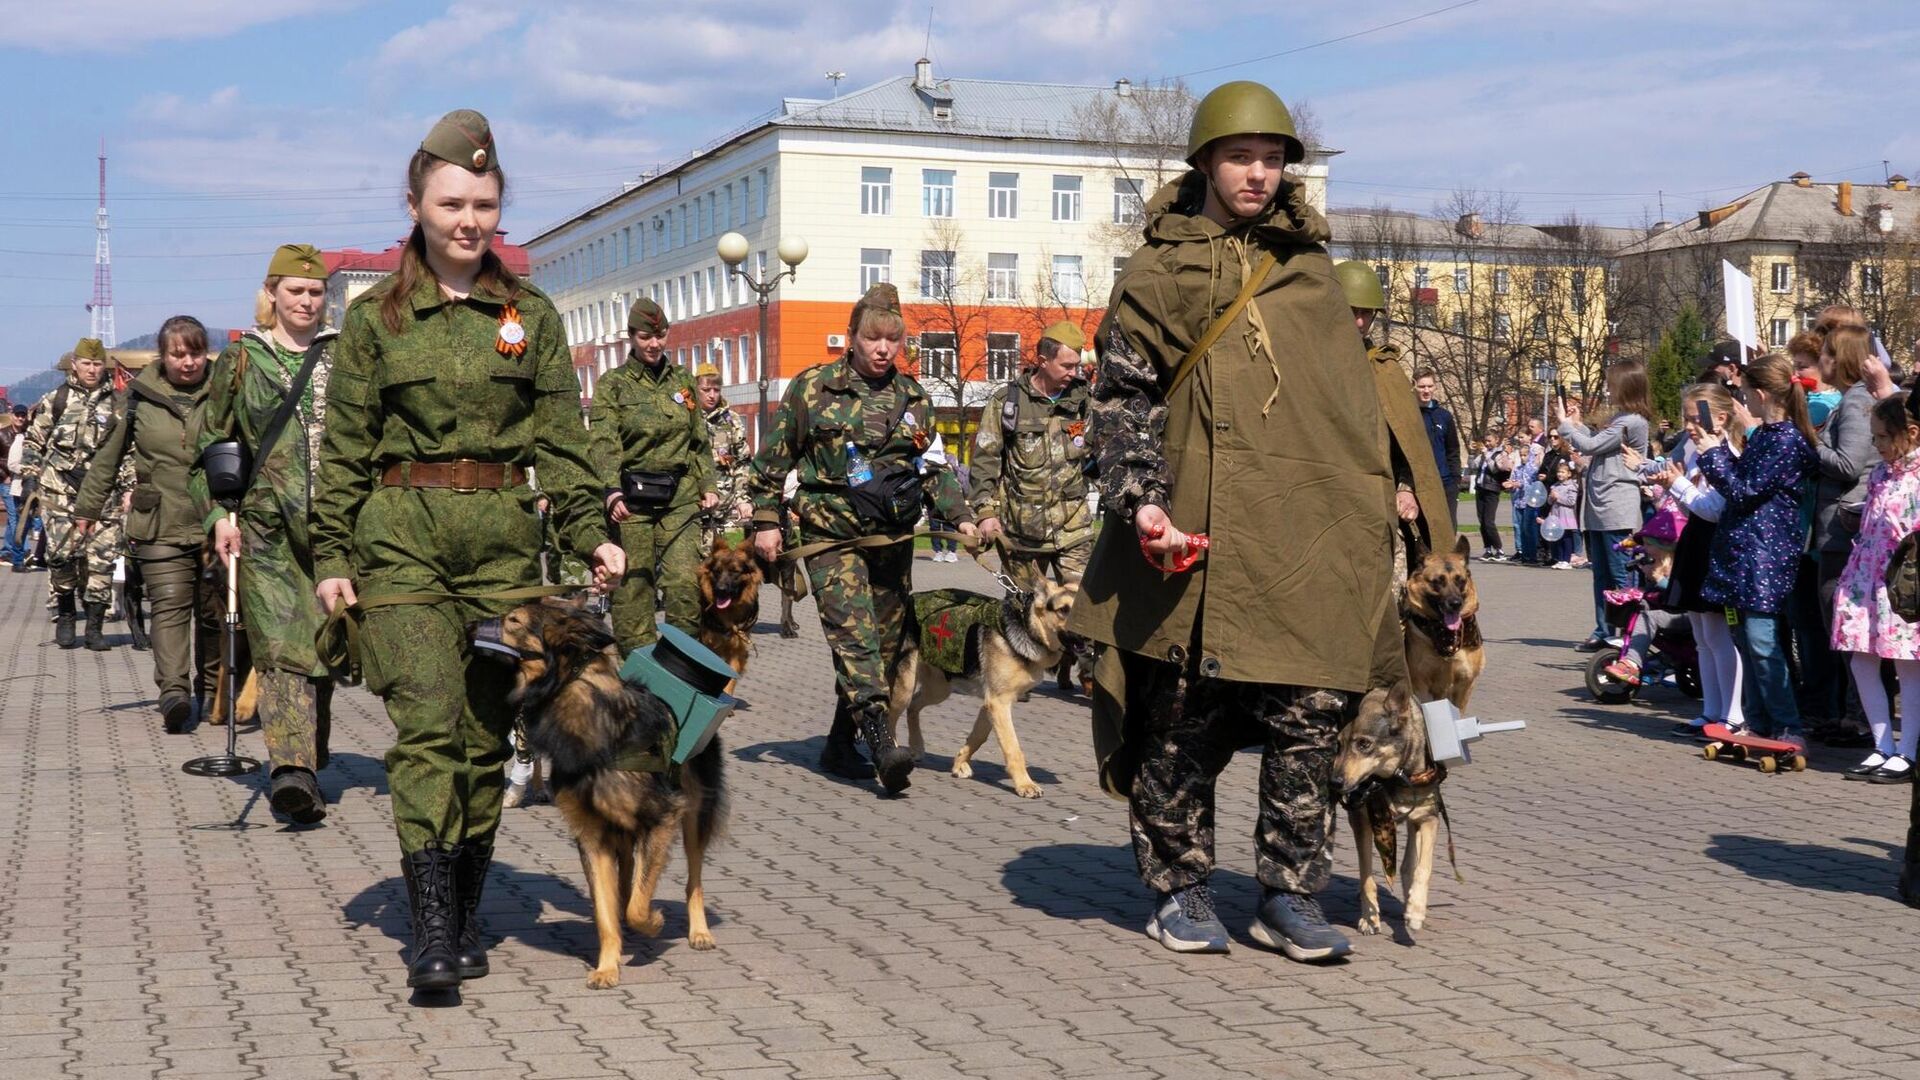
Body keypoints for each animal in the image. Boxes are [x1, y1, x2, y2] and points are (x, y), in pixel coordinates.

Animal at [491, 595, 729, 983]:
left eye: (514, 620)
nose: (469, 627)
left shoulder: (662, 817)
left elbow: (638, 905)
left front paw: (653, 923)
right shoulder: (591, 833)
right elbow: (605, 908)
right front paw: (606, 967)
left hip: (694, 814)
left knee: (693, 878)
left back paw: (699, 932)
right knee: (629, 873)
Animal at [695, 538, 760, 687]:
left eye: (735, 572)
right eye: (717, 571)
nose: (721, 590)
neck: (729, 611)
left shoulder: (737, 651)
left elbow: (729, 681)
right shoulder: (709, 646)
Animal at [887, 576, 1082, 795]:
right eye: (1063, 610)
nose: (1085, 636)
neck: (1026, 625)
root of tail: (910, 600)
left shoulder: (992, 705)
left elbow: (977, 737)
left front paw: (959, 764)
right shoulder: (999, 703)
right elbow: (1012, 747)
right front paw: (1025, 784)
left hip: (939, 689)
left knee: (913, 707)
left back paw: (917, 746)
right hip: (906, 687)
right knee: (891, 716)